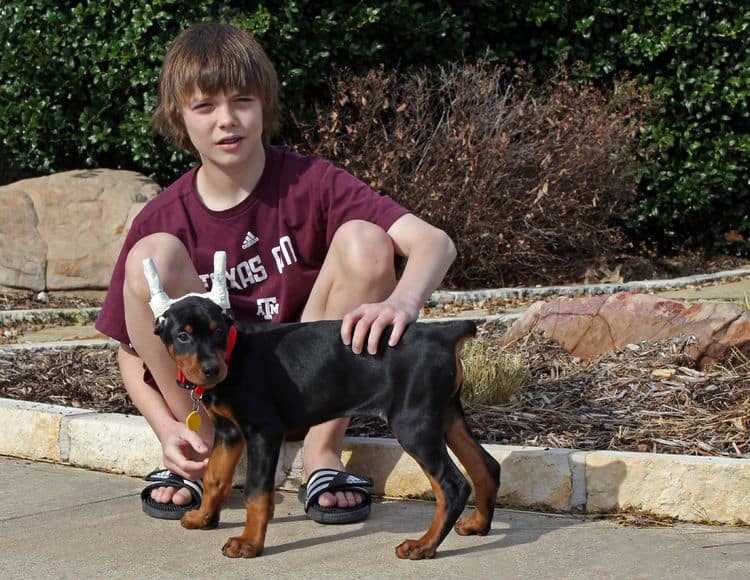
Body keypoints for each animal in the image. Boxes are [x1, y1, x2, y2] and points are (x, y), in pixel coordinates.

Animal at [155, 296, 502, 560]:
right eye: (183, 336)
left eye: (217, 332)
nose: (212, 369)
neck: (233, 352)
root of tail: (443, 334)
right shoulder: (229, 433)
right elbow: (214, 477)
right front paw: (203, 517)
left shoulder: (264, 432)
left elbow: (256, 491)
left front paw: (250, 543)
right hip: (445, 415)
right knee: (486, 466)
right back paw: (478, 525)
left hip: (413, 423)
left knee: (452, 485)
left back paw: (423, 546)